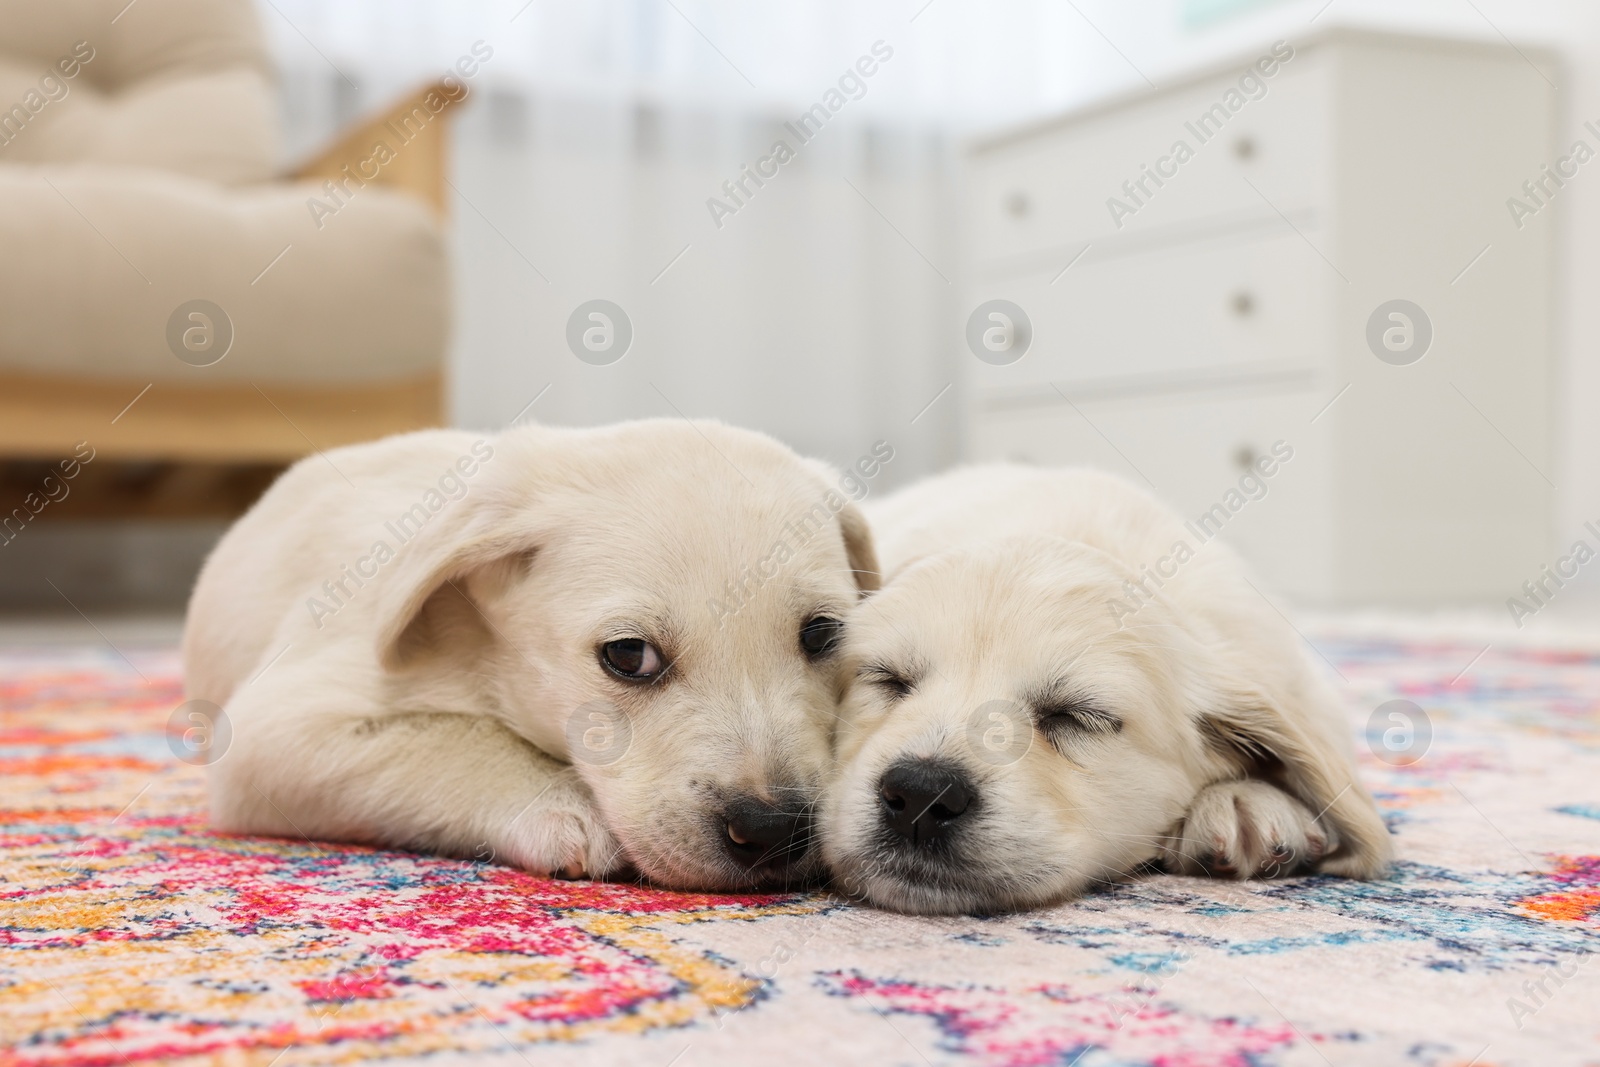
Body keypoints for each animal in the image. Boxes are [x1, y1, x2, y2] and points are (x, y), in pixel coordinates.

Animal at [188, 422, 889, 889]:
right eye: (628, 655)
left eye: (822, 636)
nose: (772, 830)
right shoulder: (273, 730)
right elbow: (452, 739)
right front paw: (565, 808)